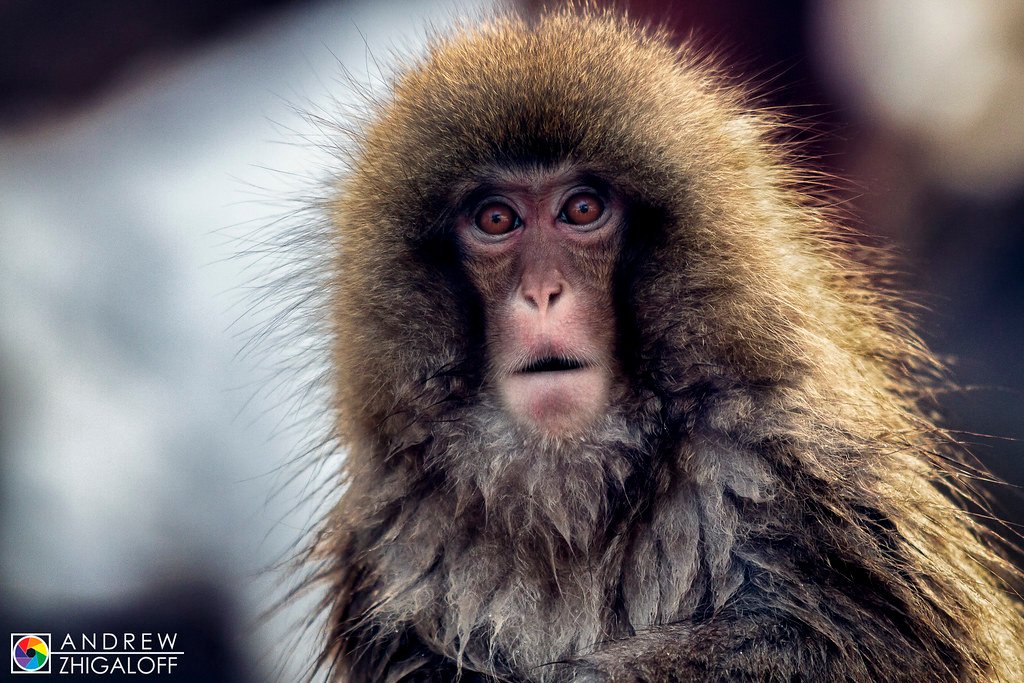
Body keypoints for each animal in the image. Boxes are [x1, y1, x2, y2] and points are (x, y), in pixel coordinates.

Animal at [299, 8, 1024, 682]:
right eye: (497, 219)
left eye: (582, 210)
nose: (542, 293)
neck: (574, 488)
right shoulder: (394, 538)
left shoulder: (791, 458)